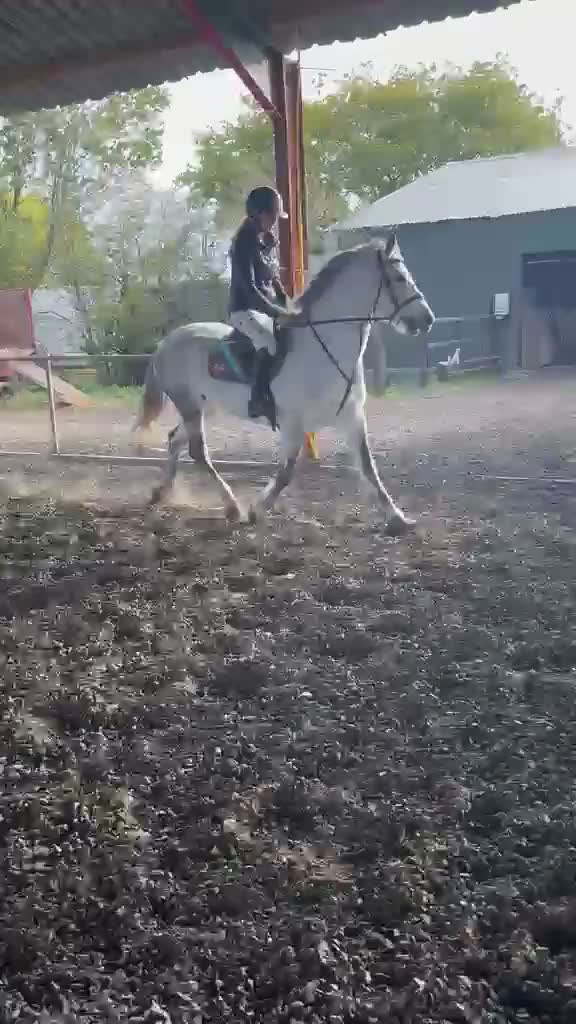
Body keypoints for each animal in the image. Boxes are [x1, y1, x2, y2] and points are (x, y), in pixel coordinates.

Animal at [134, 233, 434, 531]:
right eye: (399, 278)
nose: (427, 319)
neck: (325, 346)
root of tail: (167, 341)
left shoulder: (352, 417)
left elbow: (368, 467)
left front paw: (397, 517)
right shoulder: (293, 423)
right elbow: (287, 472)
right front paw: (257, 509)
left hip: (206, 407)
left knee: (175, 440)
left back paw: (162, 493)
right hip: (190, 406)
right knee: (197, 452)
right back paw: (231, 506)